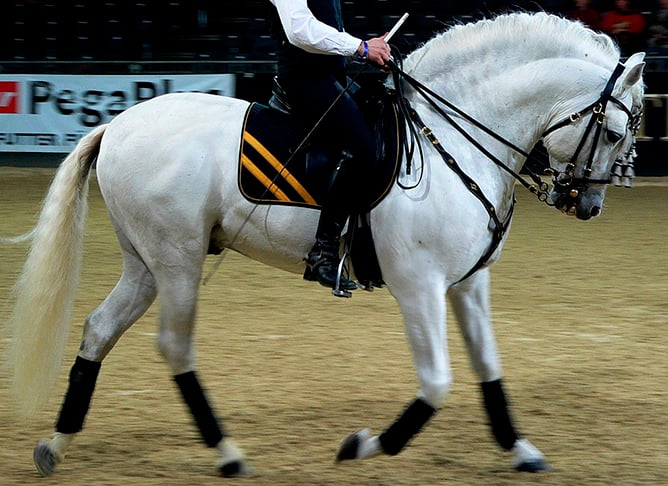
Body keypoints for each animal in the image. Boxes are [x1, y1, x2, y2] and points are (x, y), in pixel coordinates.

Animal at [3, 12, 644, 478]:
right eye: (614, 132)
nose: (587, 204)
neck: (452, 141)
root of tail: (118, 123)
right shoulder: (419, 285)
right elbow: (436, 383)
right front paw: (362, 445)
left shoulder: (467, 283)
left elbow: (489, 367)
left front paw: (519, 449)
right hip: (177, 260)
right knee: (174, 347)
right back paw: (227, 453)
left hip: (146, 265)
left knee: (98, 329)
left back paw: (55, 444)